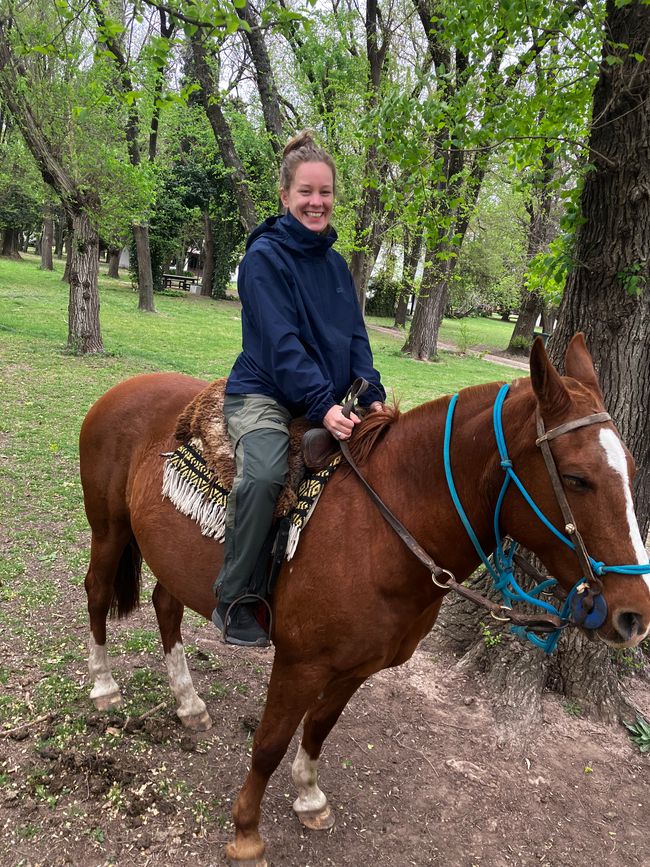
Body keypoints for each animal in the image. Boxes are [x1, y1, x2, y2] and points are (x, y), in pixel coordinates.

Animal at [81, 336, 648, 864]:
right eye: (576, 478)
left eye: (631, 468)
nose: (634, 616)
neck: (380, 530)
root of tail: (124, 388)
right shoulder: (299, 663)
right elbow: (268, 744)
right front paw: (245, 834)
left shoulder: (357, 666)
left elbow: (319, 729)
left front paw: (309, 798)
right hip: (109, 529)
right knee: (96, 594)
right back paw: (104, 687)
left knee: (166, 605)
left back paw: (188, 703)